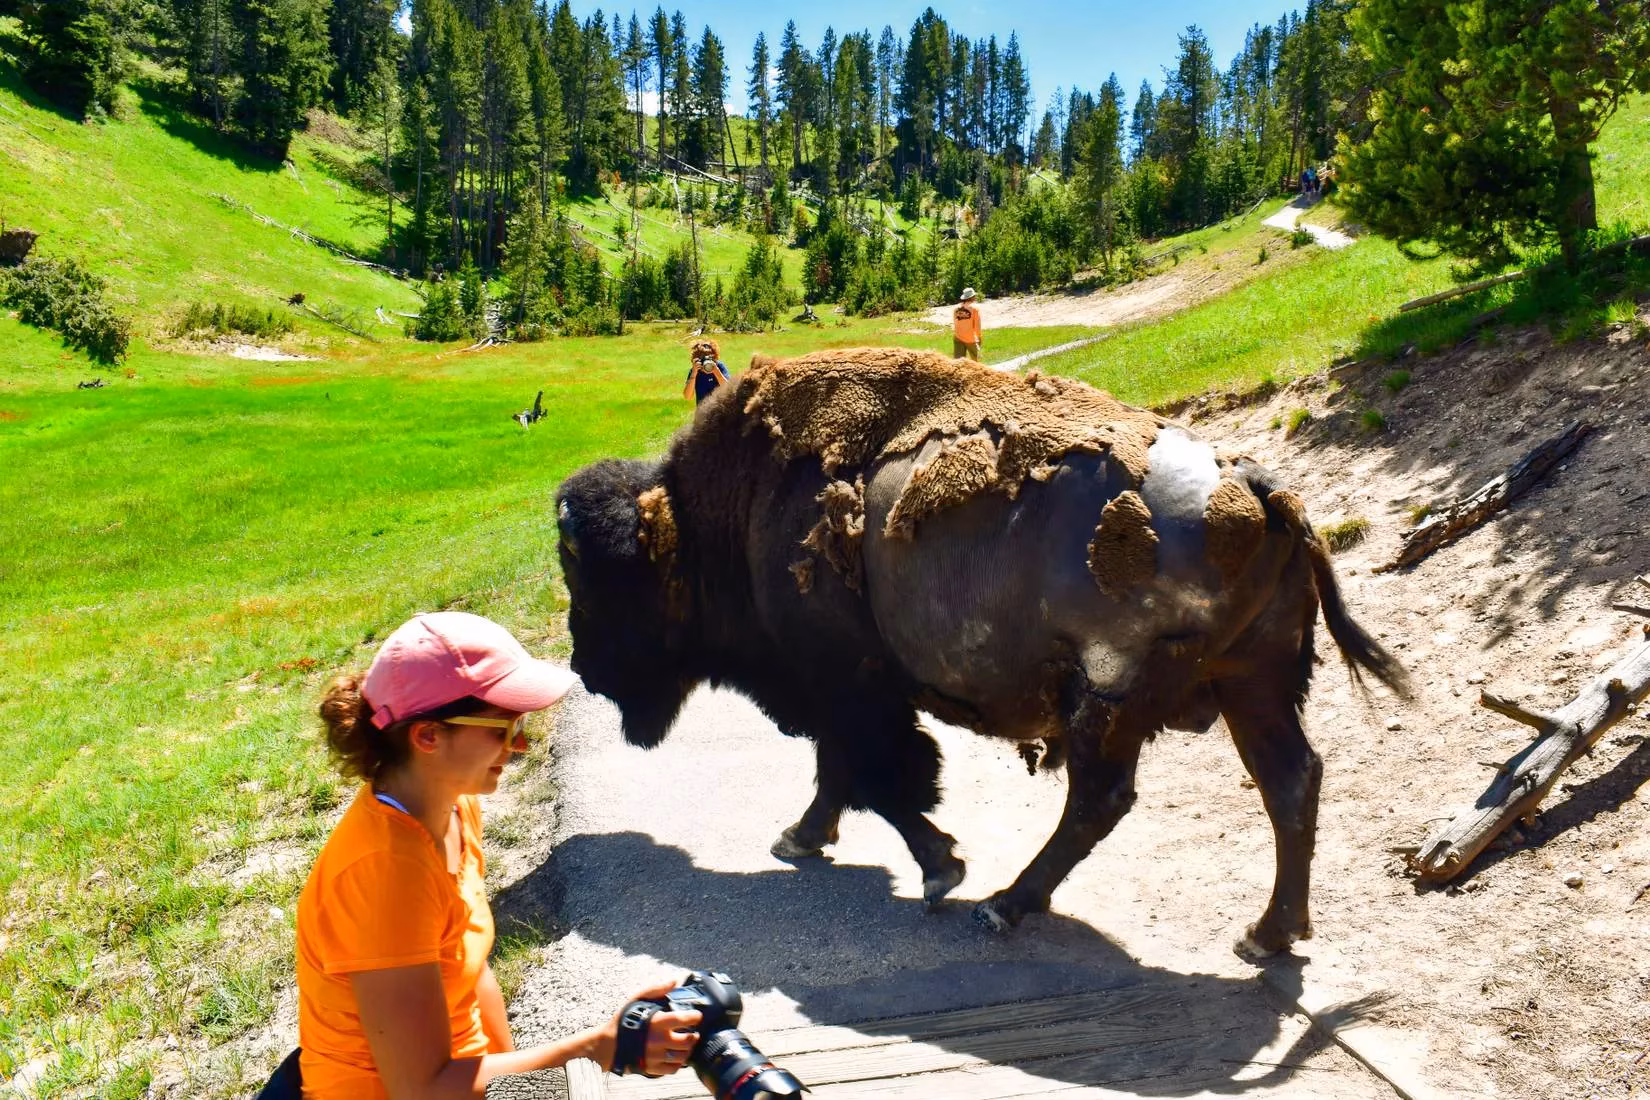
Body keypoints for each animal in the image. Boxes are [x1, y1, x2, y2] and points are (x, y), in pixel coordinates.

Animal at [555, 348, 1407, 957]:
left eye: (600, 589)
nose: (583, 673)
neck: (722, 518)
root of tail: (1262, 488)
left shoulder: (850, 686)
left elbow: (882, 778)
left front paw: (941, 870)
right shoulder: (841, 693)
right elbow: (840, 773)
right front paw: (801, 837)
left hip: (1111, 699)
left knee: (1101, 801)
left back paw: (1004, 906)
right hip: (1251, 685)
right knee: (1289, 782)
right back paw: (1267, 935)